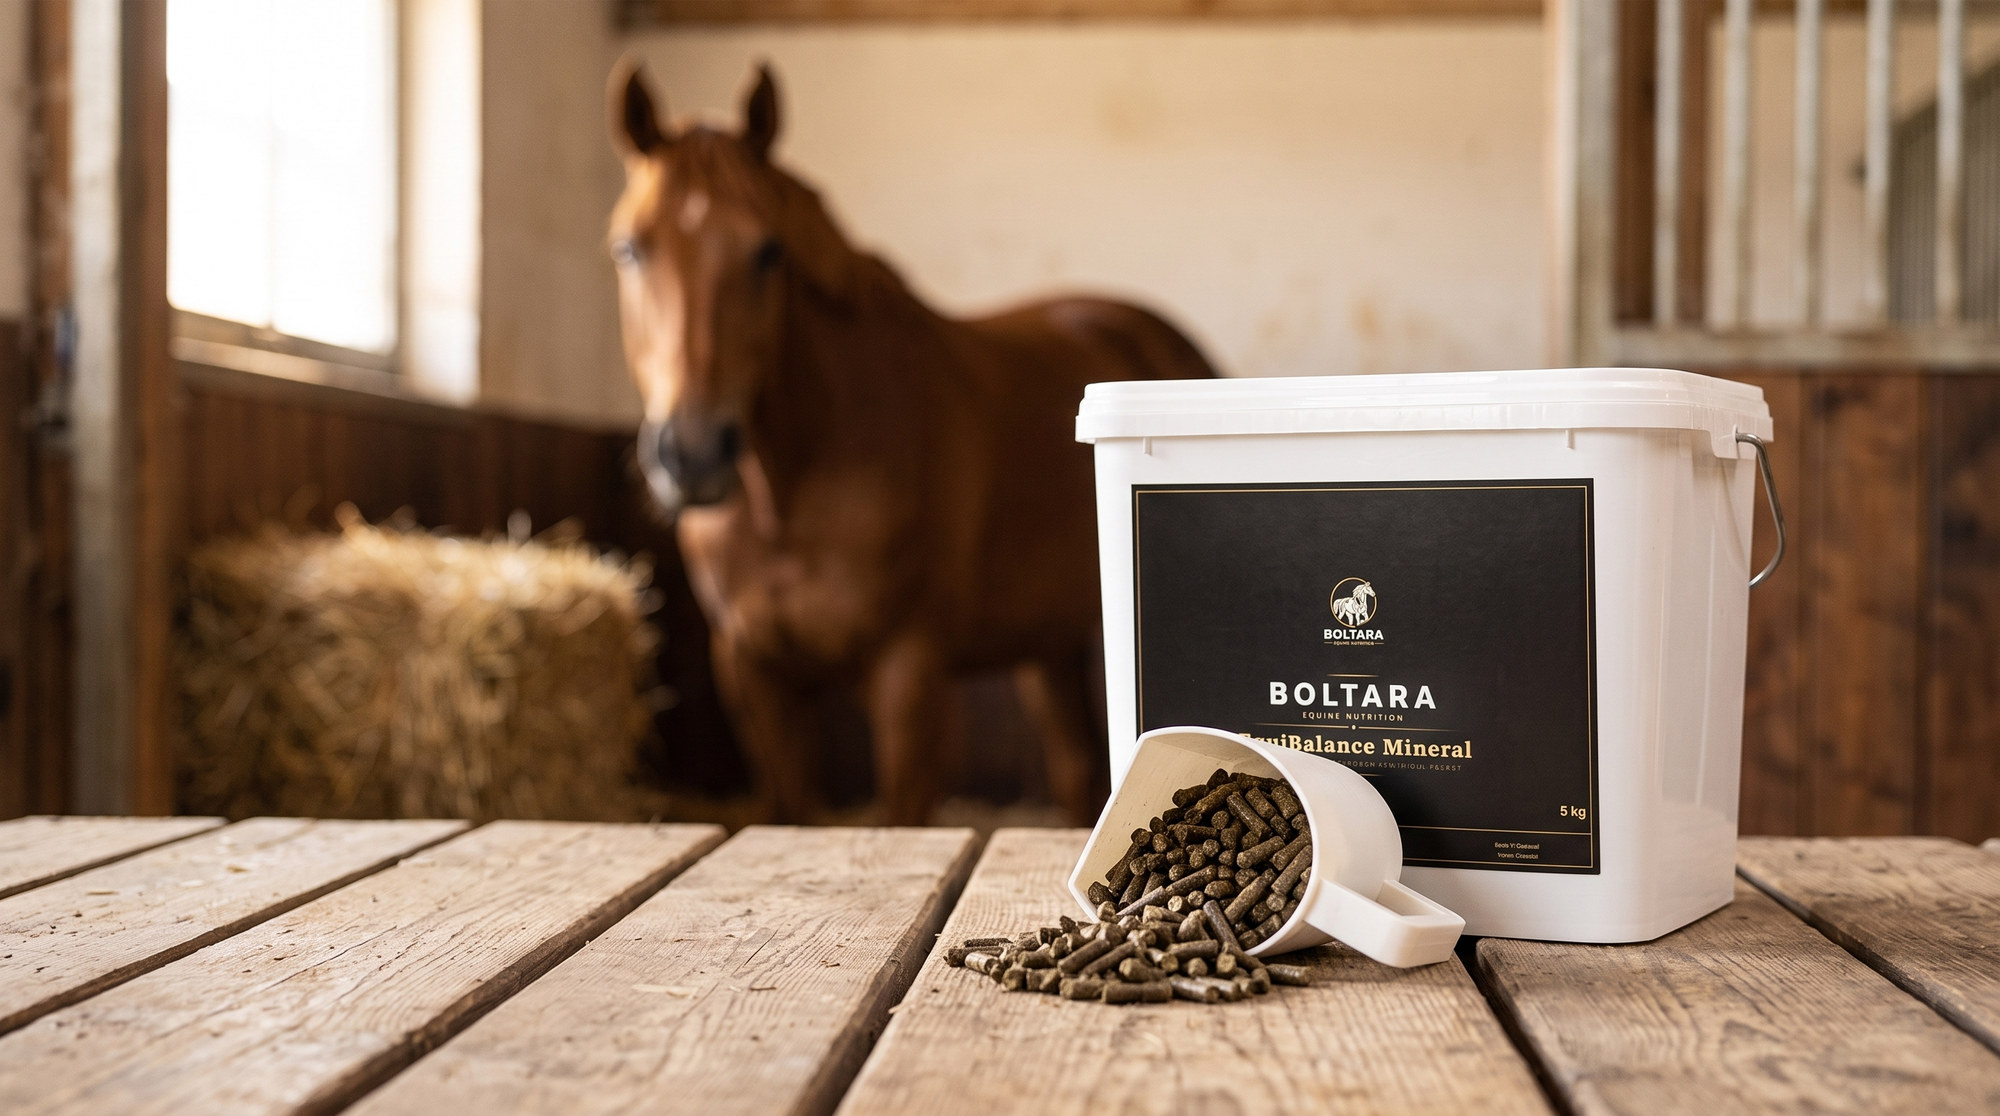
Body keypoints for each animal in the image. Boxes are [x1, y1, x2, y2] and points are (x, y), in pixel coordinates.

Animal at [605, 60, 1219, 824]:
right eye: (628, 248)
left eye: (769, 251)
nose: (691, 454)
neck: (792, 489)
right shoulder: (751, 672)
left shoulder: (909, 672)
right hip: (1045, 642)